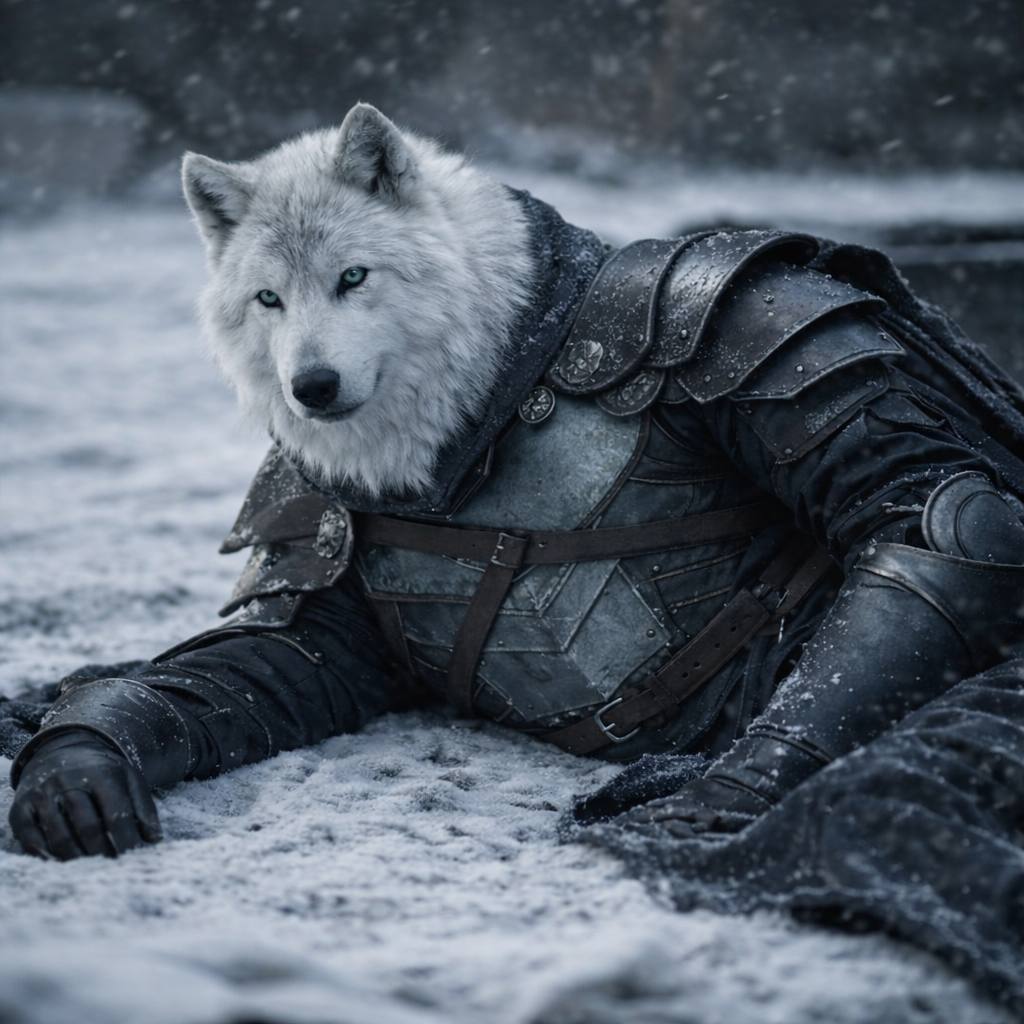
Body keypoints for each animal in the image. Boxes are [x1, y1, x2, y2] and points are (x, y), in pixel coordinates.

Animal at [9, 102, 1024, 862]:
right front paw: (76, 758)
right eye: (268, 300)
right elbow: (259, 663)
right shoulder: (316, 552)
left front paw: (734, 788)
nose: (311, 388)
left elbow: (919, 513)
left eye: (354, 277)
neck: (496, 389)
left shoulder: (750, 321)